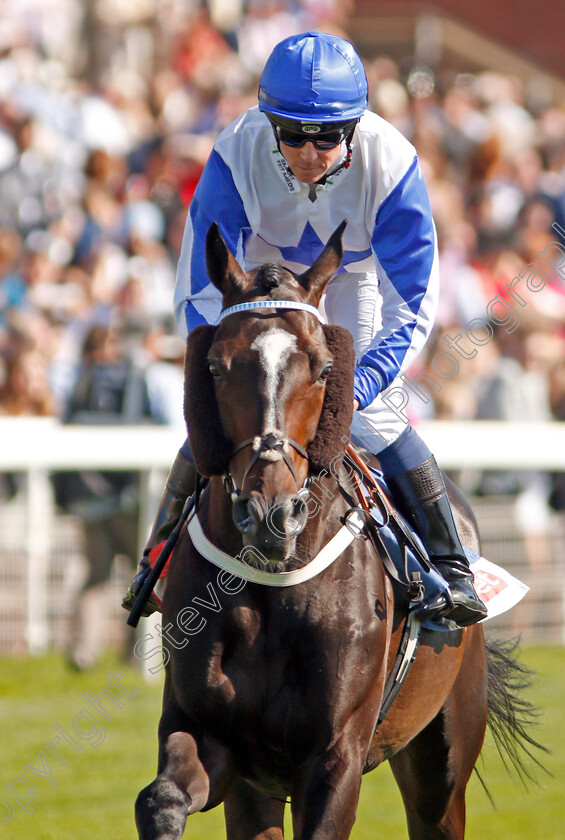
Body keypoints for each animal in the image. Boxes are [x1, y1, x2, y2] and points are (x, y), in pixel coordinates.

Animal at [135, 223, 536, 840]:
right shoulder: (209, 734)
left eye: (325, 368)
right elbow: (159, 799)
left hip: (442, 756)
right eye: (215, 368)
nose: (271, 513)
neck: (271, 585)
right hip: (257, 791)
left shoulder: (334, 755)